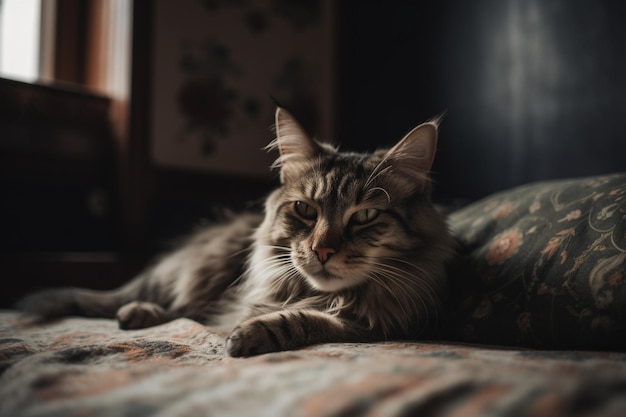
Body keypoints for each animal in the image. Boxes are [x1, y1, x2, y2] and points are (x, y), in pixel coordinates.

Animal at [15, 105, 454, 356]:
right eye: (305, 210)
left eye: (365, 217)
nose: (322, 250)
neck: (318, 293)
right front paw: (242, 331)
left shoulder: (384, 324)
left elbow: (310, 321)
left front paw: (251, 334)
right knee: (168, 304)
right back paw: (137, 312)